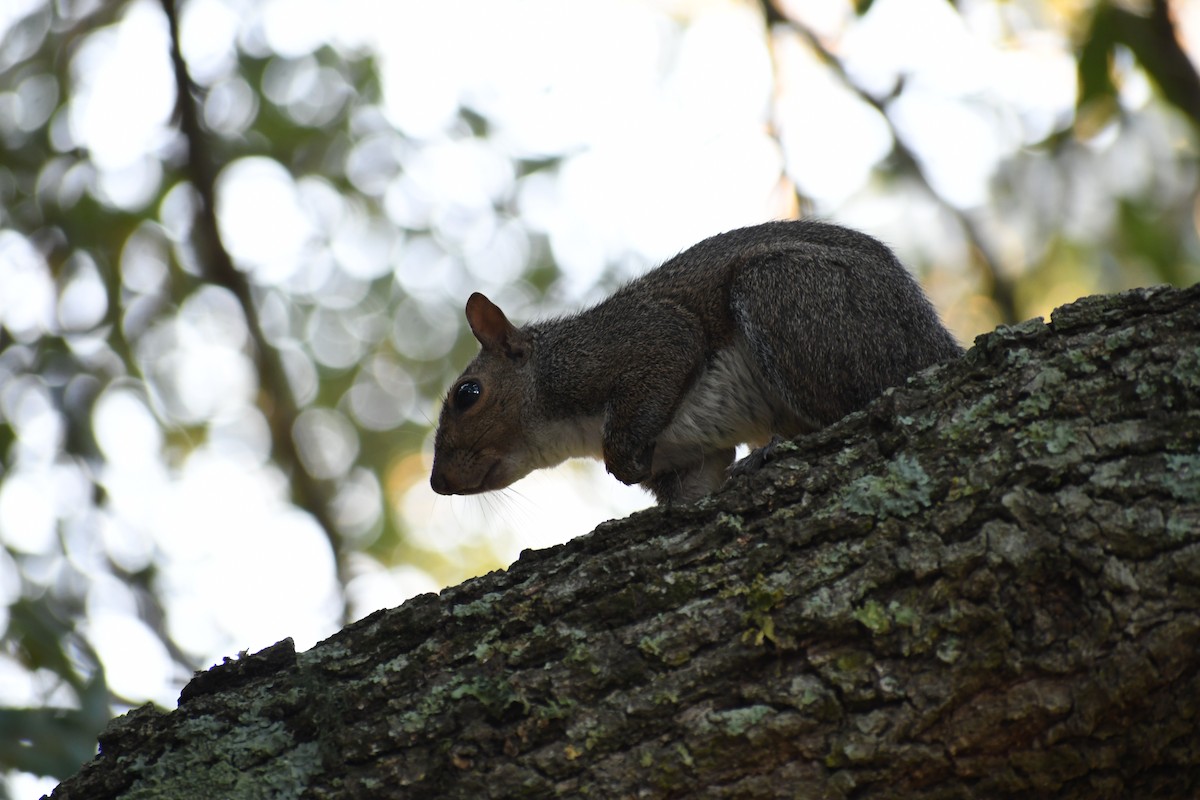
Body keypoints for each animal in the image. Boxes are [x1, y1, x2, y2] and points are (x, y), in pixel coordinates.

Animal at [430, 220, 963, 505]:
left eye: (468, 394)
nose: (438, 483)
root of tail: (935, 342)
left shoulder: (639, 341)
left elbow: (666, 360)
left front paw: (625, 462)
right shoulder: (693, 463)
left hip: (786, 293)